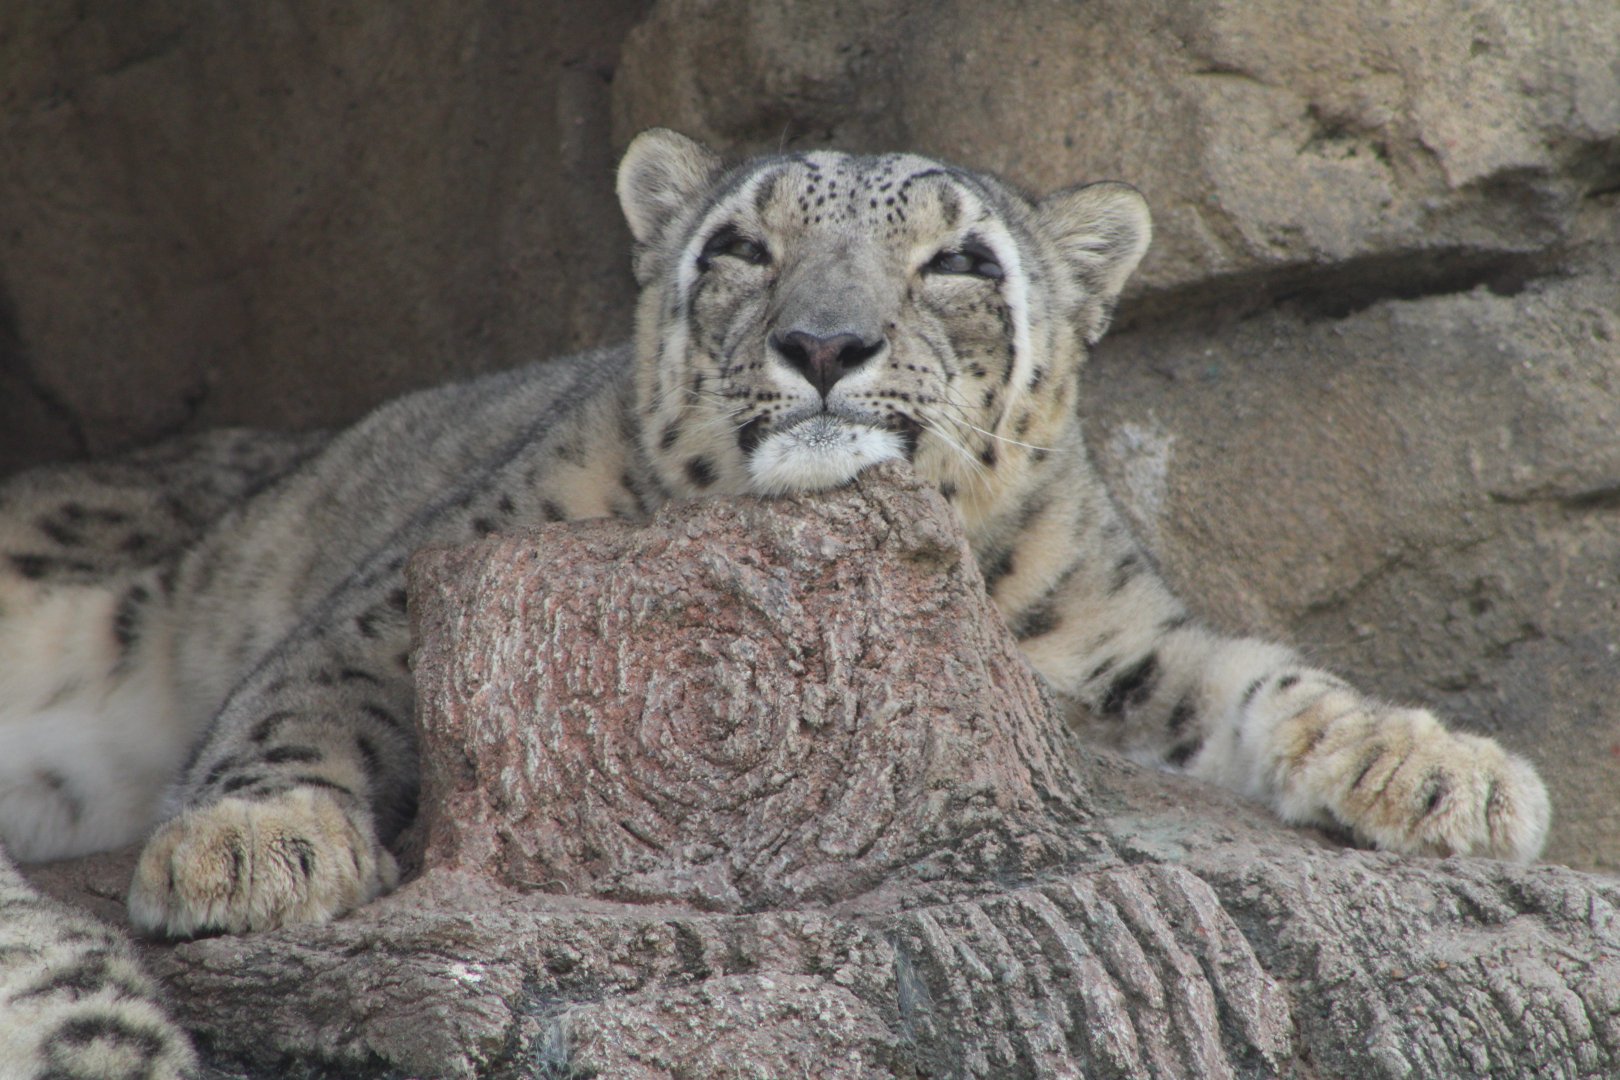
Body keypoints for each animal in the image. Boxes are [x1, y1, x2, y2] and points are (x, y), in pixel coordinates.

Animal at [0, 130, 1550, 1067]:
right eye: (744, 246)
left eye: (961, 260)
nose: (823, 342)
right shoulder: (423, 579)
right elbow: (310, 687)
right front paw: (252, 847)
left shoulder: (1108, 647)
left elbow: (1256, 678)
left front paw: (1445, 772)